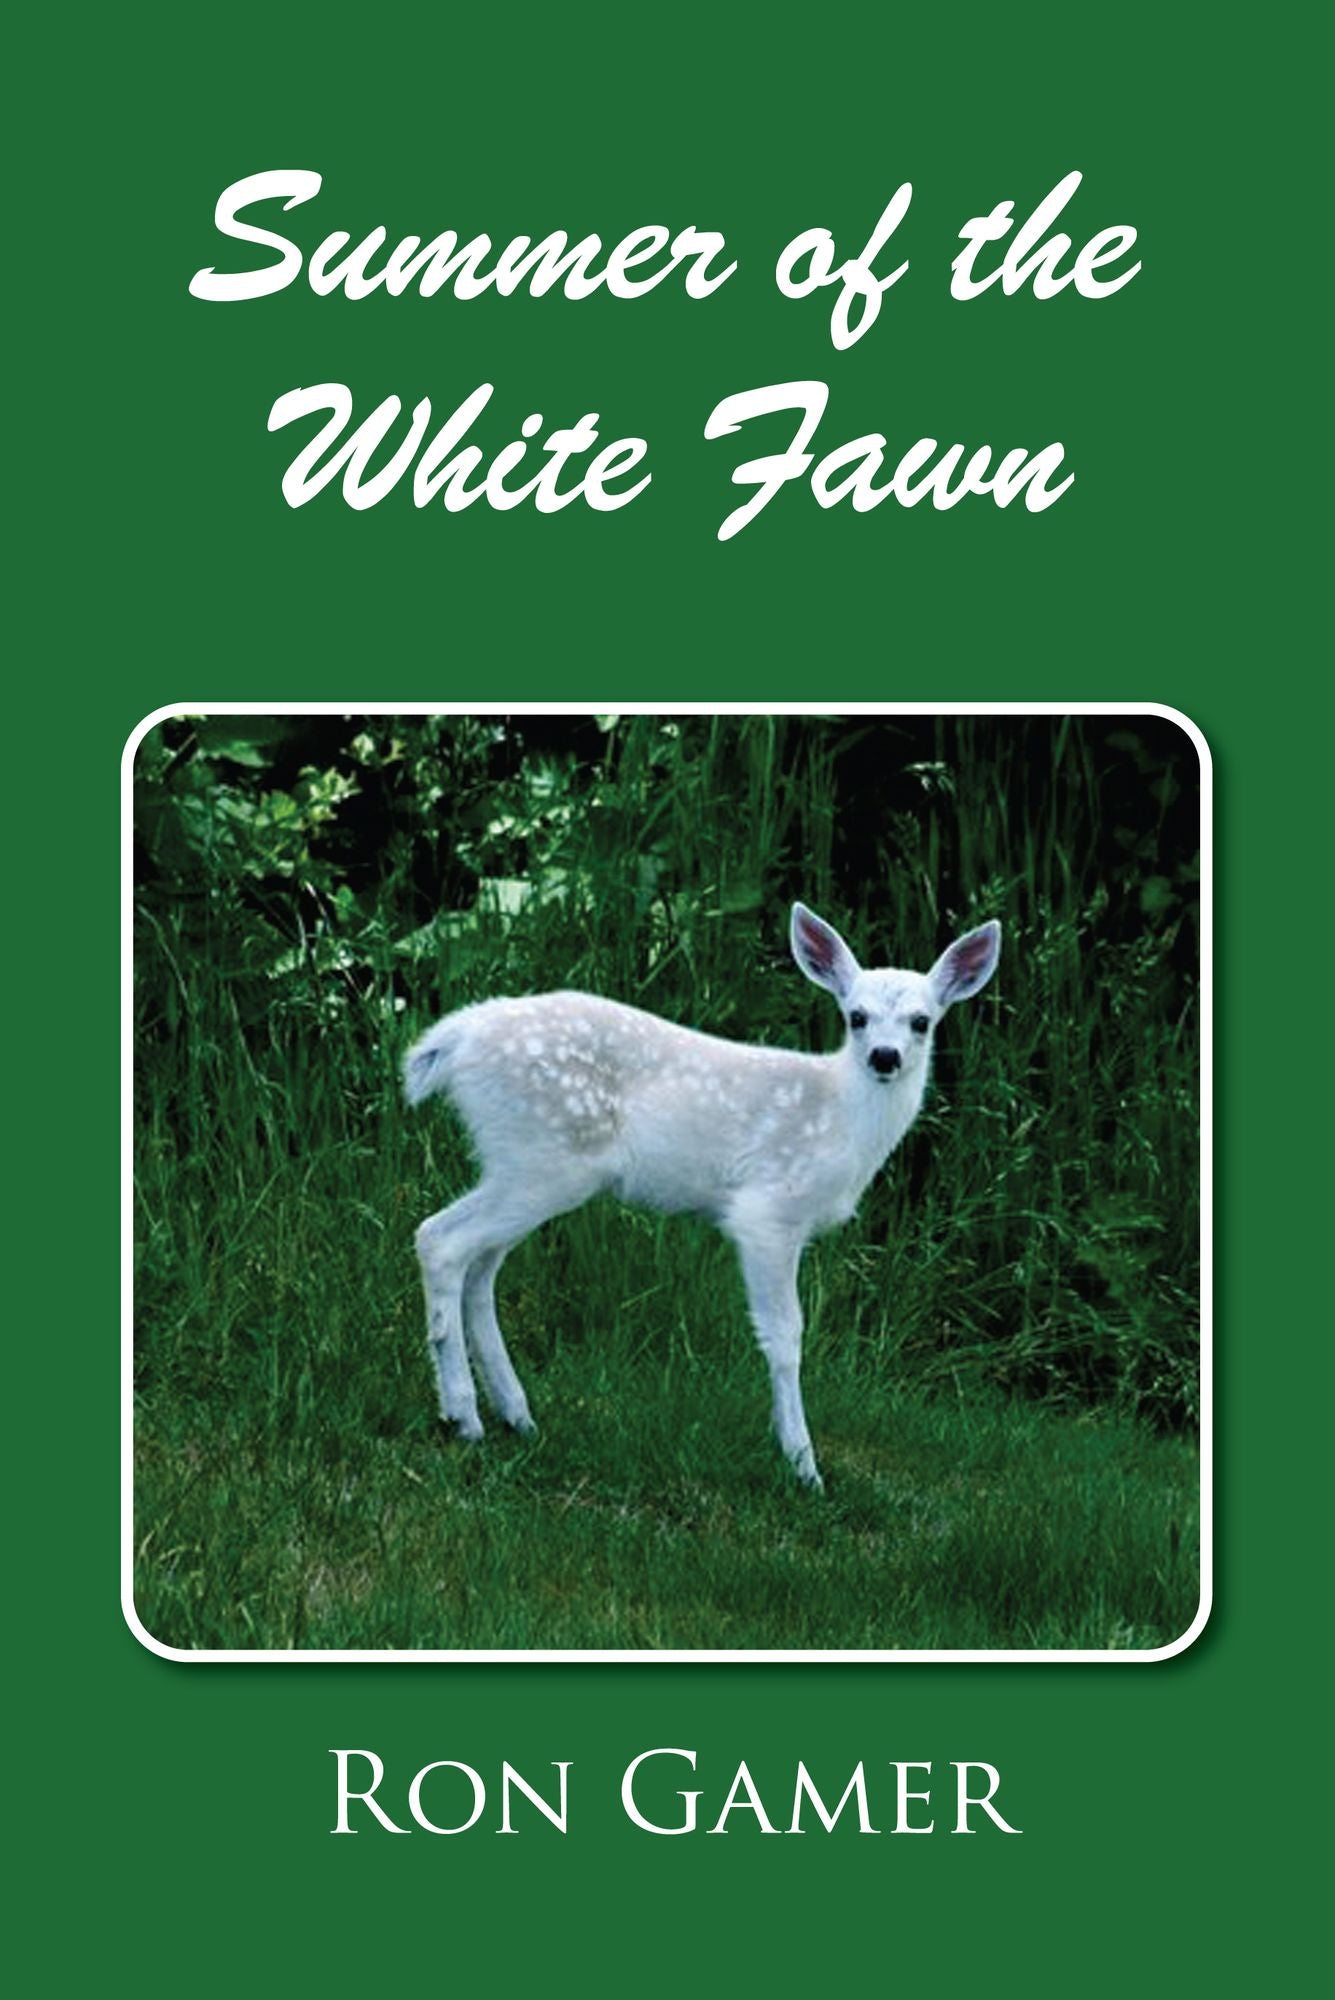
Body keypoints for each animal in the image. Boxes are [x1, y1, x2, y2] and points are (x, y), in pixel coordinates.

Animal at [404, 903, 1001, 1490]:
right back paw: (463, 1415)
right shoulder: (767, 1212)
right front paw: (803, 1465)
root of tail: (453, 1040)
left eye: (922, 1021)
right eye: (855, 1016)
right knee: (440, 1238)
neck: (841, 1120)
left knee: (480, 1269)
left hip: (521, 1164)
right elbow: (785, 1335)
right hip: (544, 1160)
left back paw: (516, 1414)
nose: (884, 1056)